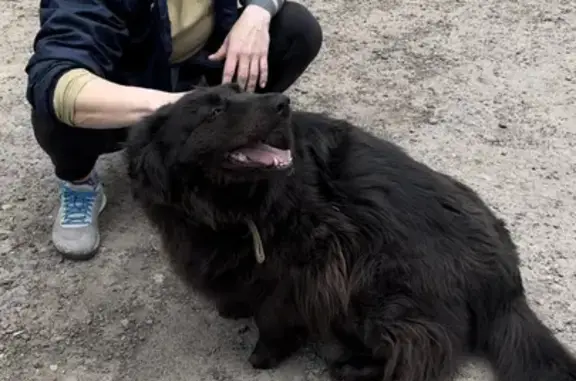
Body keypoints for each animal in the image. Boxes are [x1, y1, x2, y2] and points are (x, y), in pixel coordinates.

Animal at [126, 84, 576, 380]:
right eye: (213, 113)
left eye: (245, 91)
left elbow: (272, 316)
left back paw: (354, 366)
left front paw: (264, 355)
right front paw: (233, 306)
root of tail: (507, 286)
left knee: (423, 349)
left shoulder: (311, 264)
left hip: (372, 282)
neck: (231, 208)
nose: (282, 102)